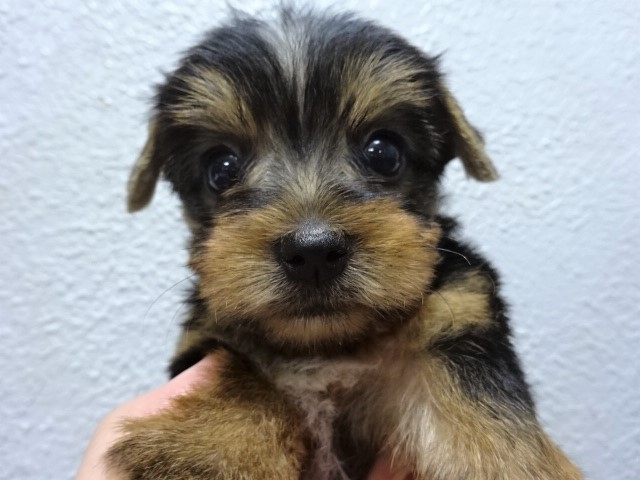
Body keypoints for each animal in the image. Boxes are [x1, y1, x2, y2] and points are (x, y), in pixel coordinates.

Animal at [108, 7, 582, 480]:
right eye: (222, 168)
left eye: (383, 152)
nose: (313, 251)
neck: (329, 347)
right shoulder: (204, 340)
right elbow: (240, 374)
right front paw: (209, 451)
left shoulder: (460, 314)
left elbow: (485, 406)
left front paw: (512, 461)